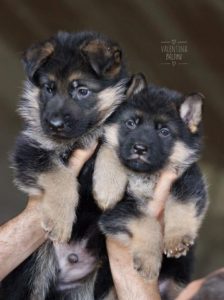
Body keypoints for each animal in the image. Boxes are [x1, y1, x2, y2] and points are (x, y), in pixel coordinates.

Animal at [11, 30, 128, 243]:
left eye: (82, 91)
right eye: (49, 88)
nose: (55, 125)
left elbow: (111, 143)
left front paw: (109, 186)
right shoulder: (30, 147)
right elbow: (61, 176)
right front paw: (60, 220)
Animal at [93, 74, 208, 298]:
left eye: (164, 131)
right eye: (131, 123)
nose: (139, 148)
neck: (146, 175)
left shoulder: (189, 178)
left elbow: (182, 202)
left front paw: (177, 237)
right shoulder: (115, 212)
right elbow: (146, 223)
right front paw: (149, 260)